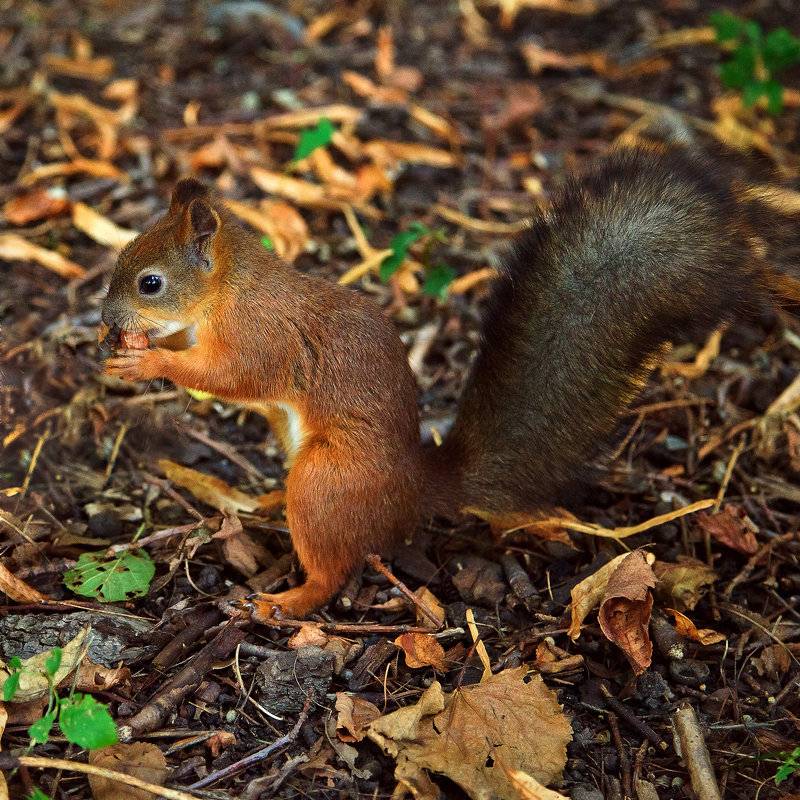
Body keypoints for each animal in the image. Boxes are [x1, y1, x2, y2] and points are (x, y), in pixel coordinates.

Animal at [100, 148, 780, 620]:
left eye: (151, 283)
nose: (105, 318)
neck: (227, 292)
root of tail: (413, 491)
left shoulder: (264, 339)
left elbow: (228, 375)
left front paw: (148, 364)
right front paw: (129, 349)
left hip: (327, 479)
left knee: (332, 570)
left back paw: (288, 600)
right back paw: (265, 501)